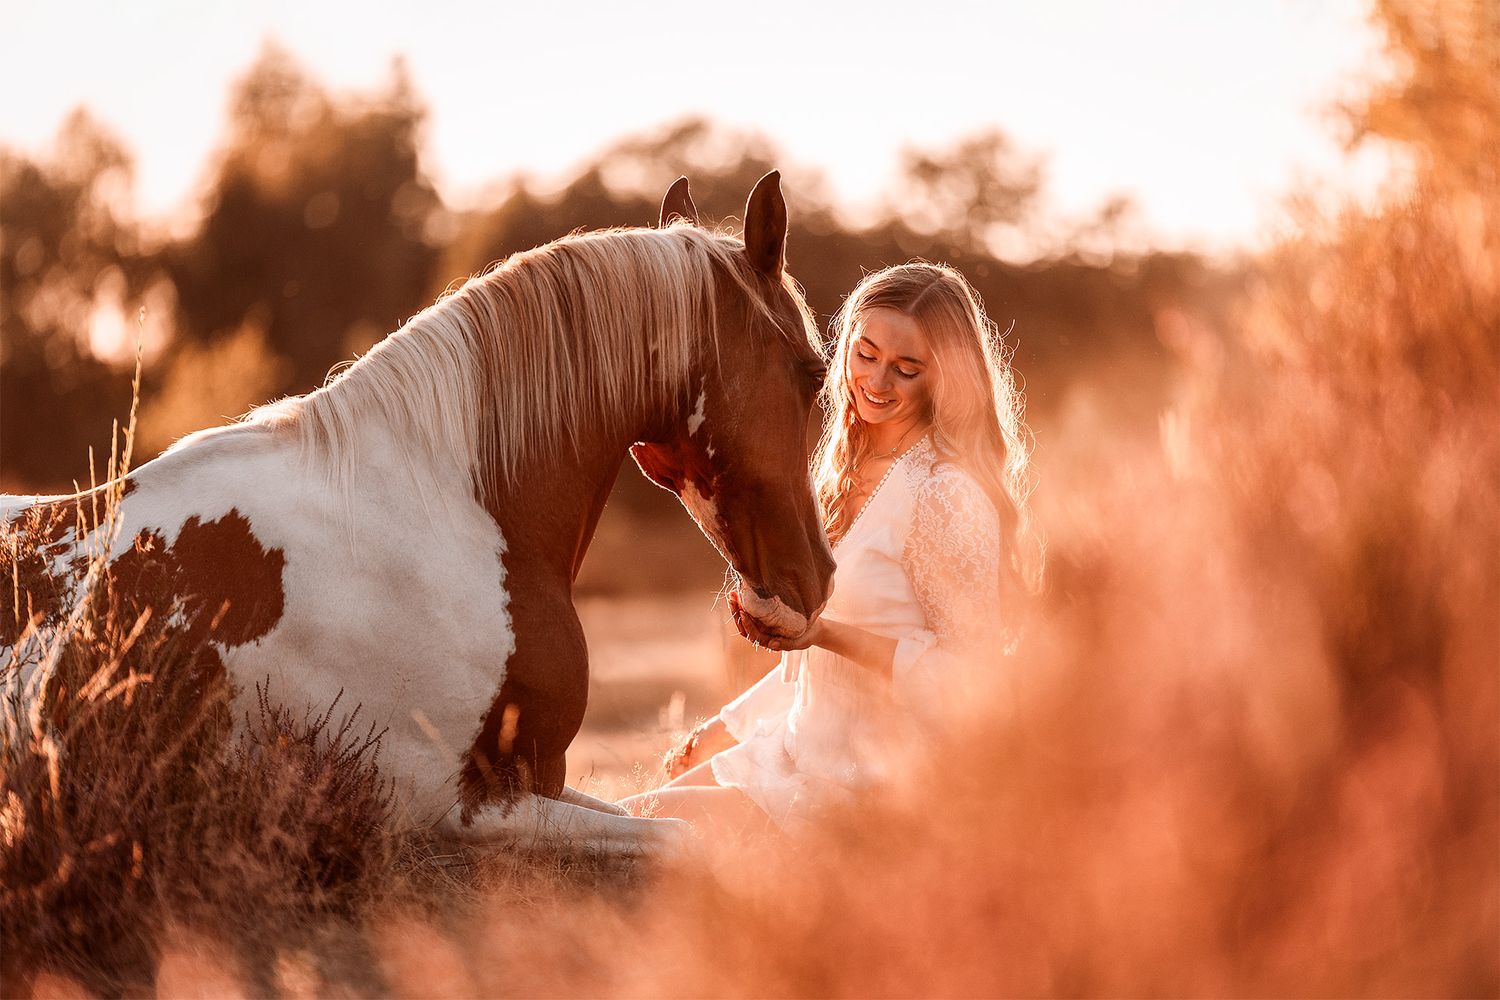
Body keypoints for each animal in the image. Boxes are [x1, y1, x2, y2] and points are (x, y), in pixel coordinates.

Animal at [1, 172, 835, 852]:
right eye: (811, 370)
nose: (818, 578)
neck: (441, 513)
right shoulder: (458, 807)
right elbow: (685, 838)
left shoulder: (541, 780)